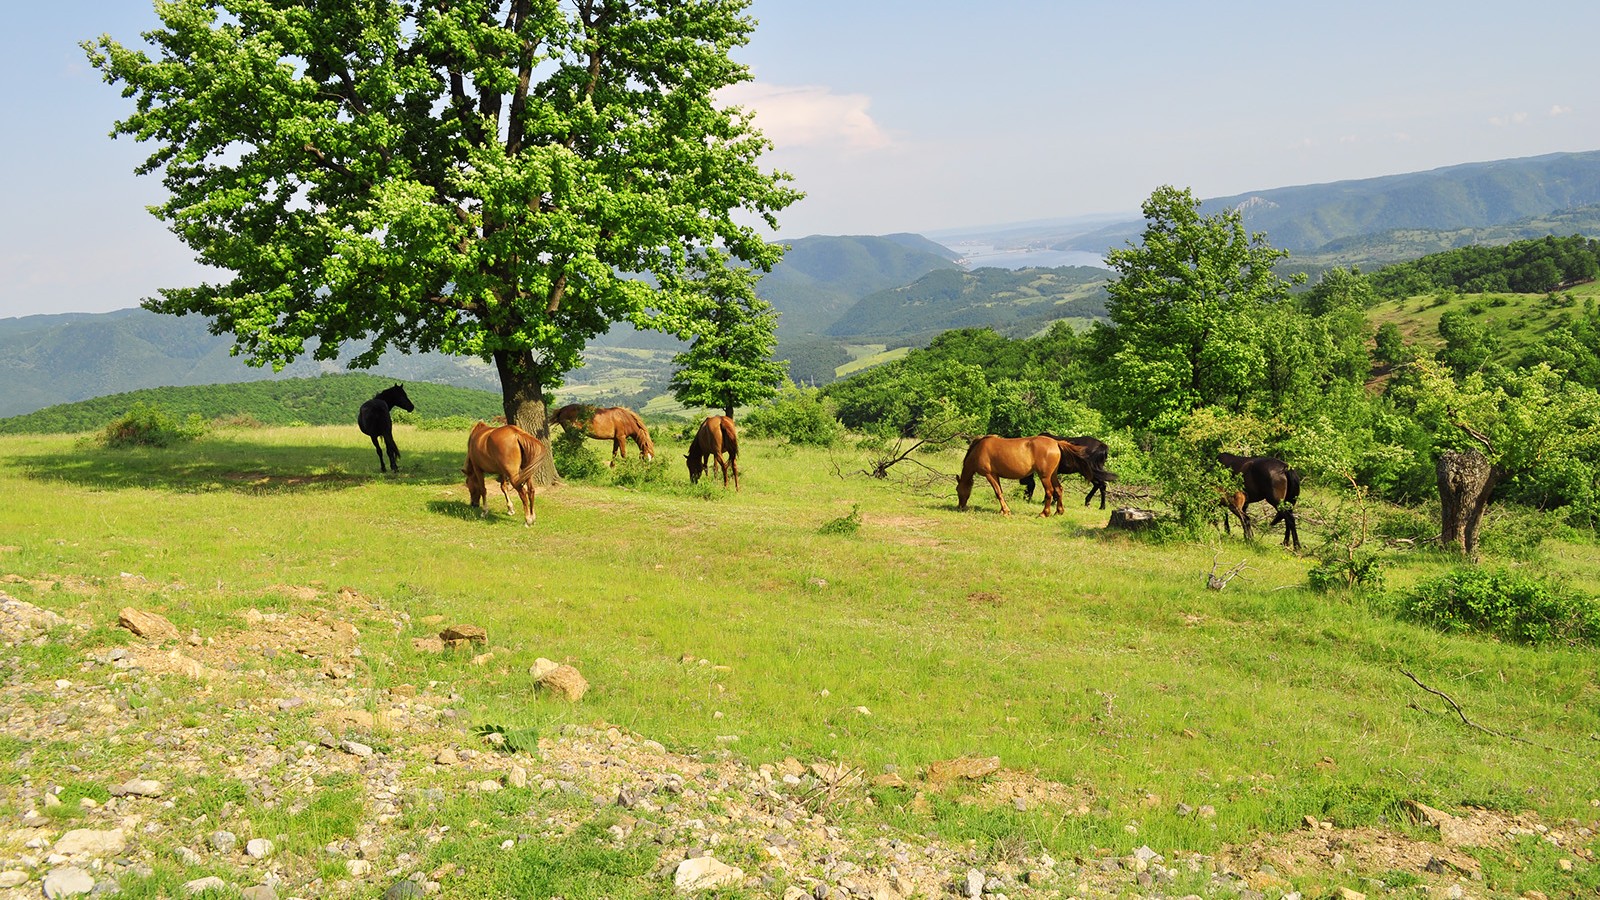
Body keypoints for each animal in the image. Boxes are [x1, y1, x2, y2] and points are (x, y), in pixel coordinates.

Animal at [953, 432, 1094, 515]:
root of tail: (1056, 443)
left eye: (957, 489)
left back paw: (1044, 513)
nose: (960, 507)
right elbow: (1000, 492)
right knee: (1059, 489)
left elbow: (998, 492)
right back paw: (1059, 511)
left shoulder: (990, 475)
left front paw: (1005, 511)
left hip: (1045, 476)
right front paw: (1003, 510)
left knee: (1049, 491)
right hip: (1053, 475)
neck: (979, 450)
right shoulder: (996, 475)